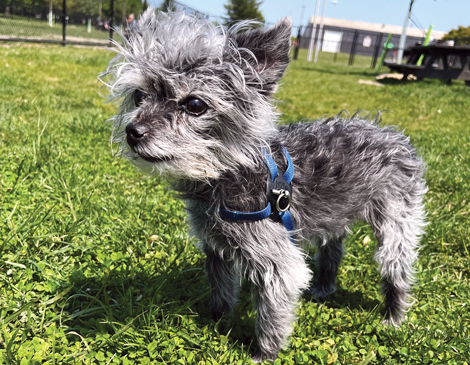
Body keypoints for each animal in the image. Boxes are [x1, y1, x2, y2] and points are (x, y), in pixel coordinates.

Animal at [103, 8, 426, 362]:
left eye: (195, 105)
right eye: (139, 96)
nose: (133, 132)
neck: (228, 172)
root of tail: (393, 135)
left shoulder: (276, 261)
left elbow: (273, 306)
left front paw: (264, 353)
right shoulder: (216, 245)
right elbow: (220, 286)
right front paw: (217, 320)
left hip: (396, 220)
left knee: (396, 264)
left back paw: (393, 315)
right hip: (336, 214)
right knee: (333, 246)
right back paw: (325, 286)